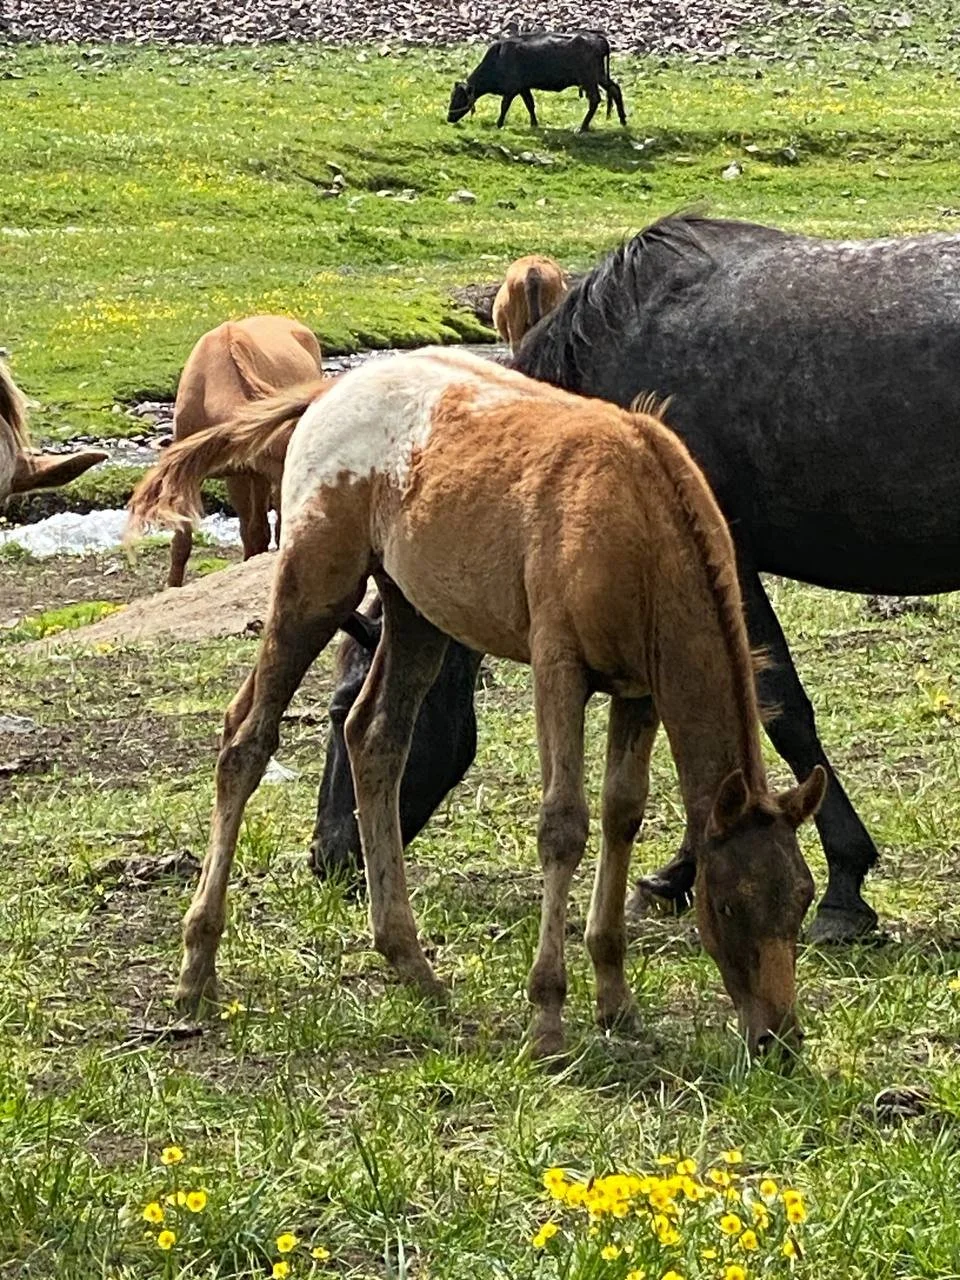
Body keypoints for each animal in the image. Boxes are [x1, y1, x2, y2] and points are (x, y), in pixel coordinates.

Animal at [127, 347, 825, 1059]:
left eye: (801, 900)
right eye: (730, 905)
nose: (779, 1040)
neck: (639, 518)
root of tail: (329, 392)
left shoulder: (639, 691)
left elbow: (622, 812)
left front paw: (615, 999)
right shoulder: (558, 667)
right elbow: (563, 825)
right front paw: (548, 1017)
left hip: (415, 614)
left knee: (374, 739)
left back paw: (411, 963)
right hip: (314, 587)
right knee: (247, 739)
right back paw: (196, 969)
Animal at [447, 32, 627, 132]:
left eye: (458, 98)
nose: (449, 118)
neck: (498, 58)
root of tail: (598, 38)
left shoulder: (511, 88)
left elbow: (504, 106)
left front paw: (498, 123)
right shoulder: (524, 87)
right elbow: (530, 104)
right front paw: (534, 124)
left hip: (588, 78)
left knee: (595, 99)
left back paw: (582, 127)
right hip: (599, 75)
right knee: (615, 89)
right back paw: (623, 120)